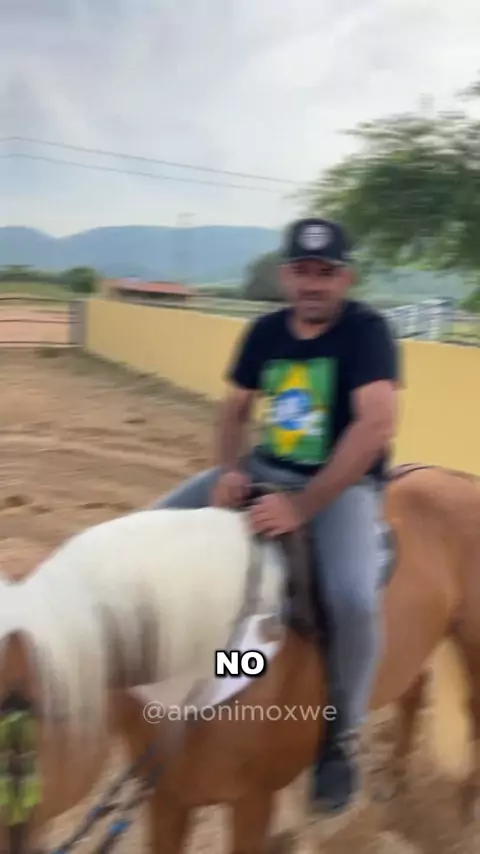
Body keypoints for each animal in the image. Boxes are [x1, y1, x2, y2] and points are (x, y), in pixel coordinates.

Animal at [0, 464, 479, 854]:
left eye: (15, 733)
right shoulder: (167, 796)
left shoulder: (252, 801)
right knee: (415, 690)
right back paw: (395, 780)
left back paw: (464, 817)